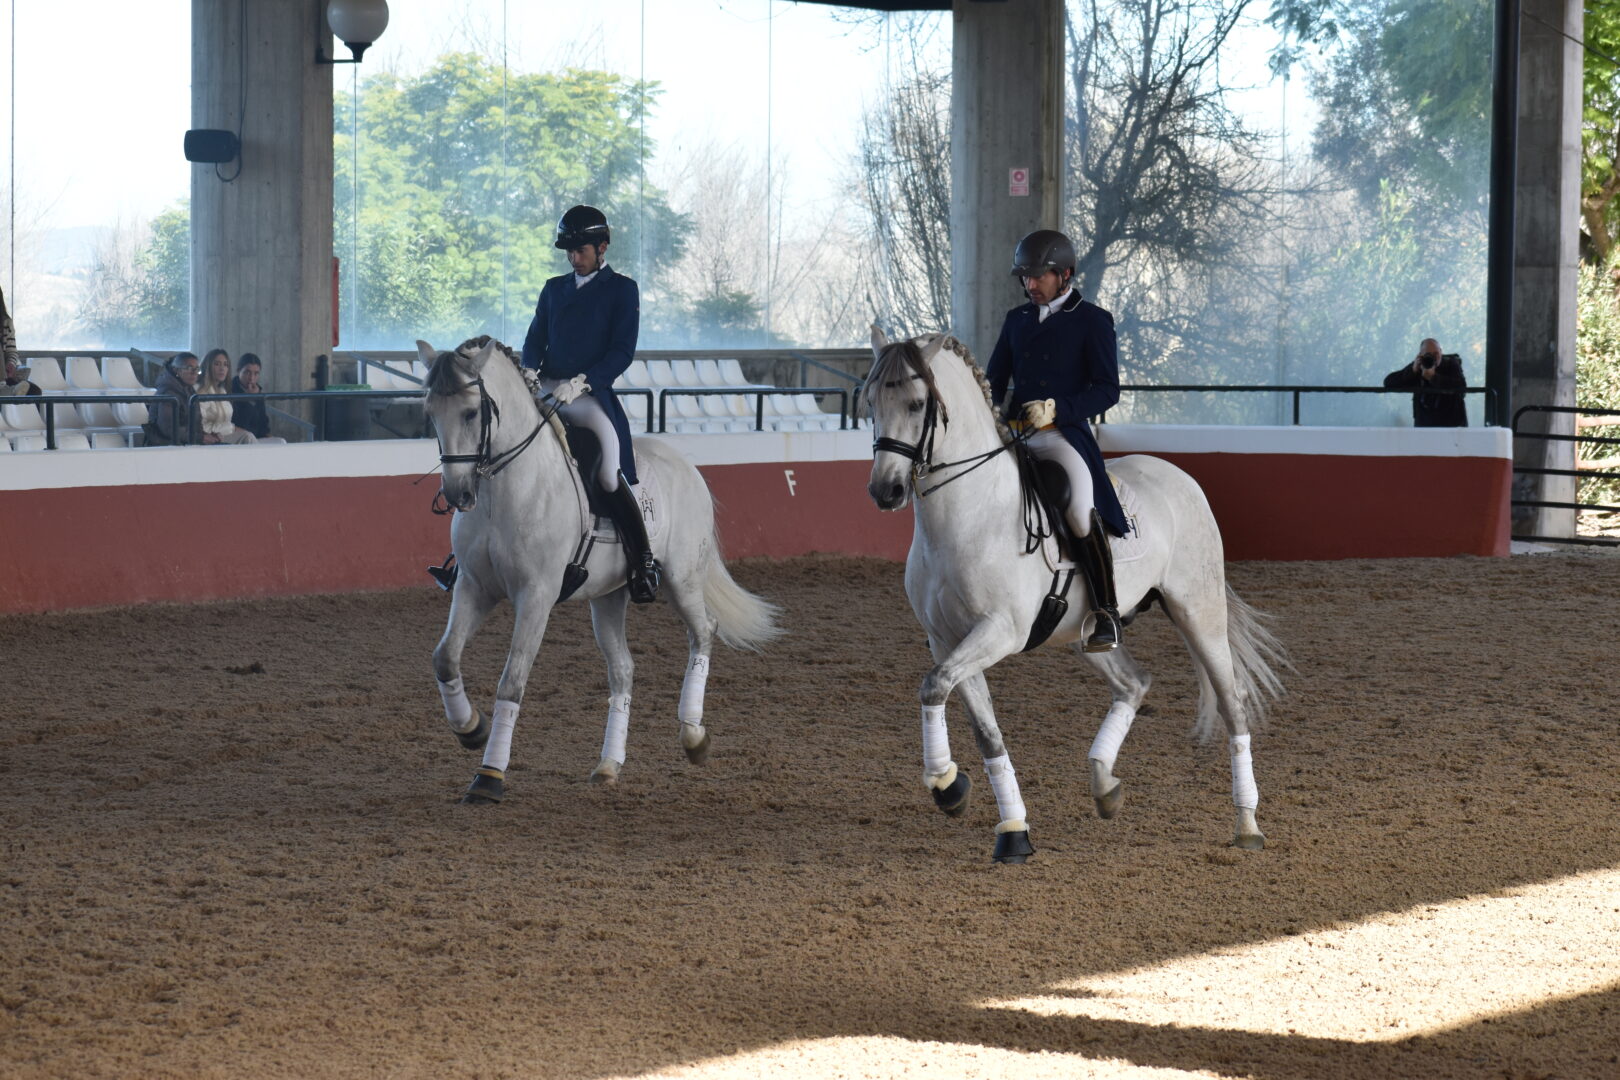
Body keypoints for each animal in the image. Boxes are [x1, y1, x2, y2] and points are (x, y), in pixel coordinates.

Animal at [414, 338, 774, 803]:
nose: (457, 494)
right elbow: (444, 658)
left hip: (681, 579)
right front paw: (470, 730)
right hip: (608, 596)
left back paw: (694, 736)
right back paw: (608, 765)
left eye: (473, 412)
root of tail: (684, 464)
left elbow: (512, 682)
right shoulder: (475, 588)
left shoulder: (536, 596)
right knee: (623, 669)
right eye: (430, 412)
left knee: (703, 631)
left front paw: (489, 775)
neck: (505, 488)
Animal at [868, 330, 1283, 861]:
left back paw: (1247, 824)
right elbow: (979, 726)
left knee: (1232, 704)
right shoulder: (947, 640)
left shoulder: (999, 631)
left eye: (918, 403)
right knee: (1133, 683)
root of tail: (1179, 475)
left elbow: (934, 685)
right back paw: (1104, 785)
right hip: (1087, 633)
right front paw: (1005, 826)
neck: (966, 516)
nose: (886, 490)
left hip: (1199, 611)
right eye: (870, 402)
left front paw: (946, 785)